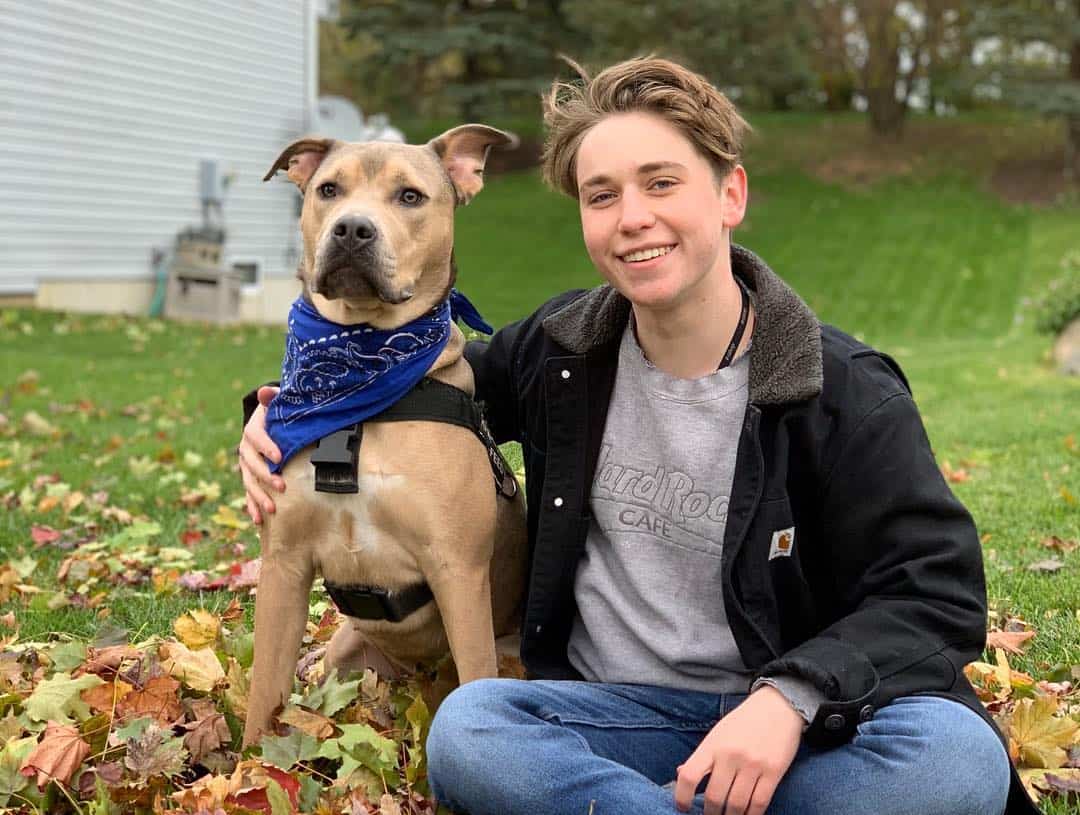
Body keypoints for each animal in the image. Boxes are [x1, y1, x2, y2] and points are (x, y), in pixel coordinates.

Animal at [246, 125, 531, 746]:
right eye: (328, 189)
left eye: (410, 197)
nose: (352, 228)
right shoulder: (283, 566)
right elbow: (261, 696)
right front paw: (248, 766)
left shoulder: (457, 572)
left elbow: (475, 676)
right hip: (346, 651)